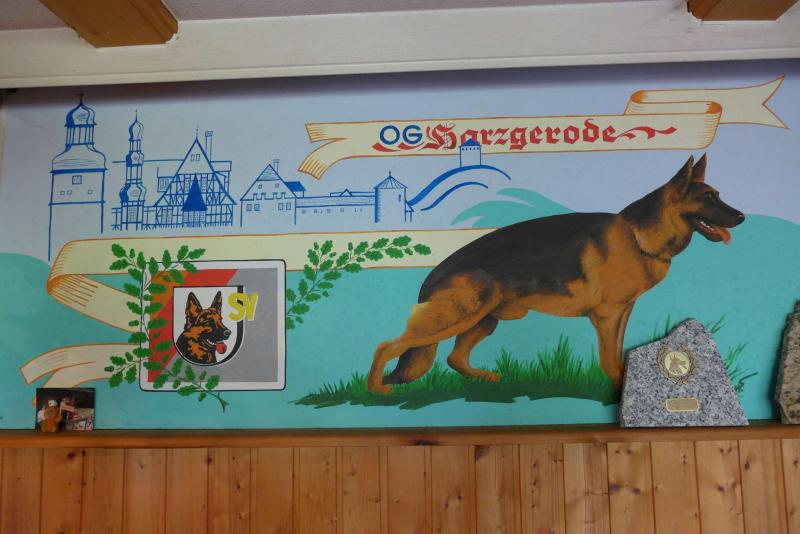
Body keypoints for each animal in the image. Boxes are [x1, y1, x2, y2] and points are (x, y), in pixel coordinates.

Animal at [368, 155, 744, 394]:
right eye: (709, 198)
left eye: (719, 196)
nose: (741, 217)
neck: (637, 235)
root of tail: (431, 275)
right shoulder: (606, 317)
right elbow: (609, 359)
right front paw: (618, 389)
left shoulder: (622, 313)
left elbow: (619, 353)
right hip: (460, 314)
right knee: (387, 346)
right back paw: (375, 389)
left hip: (487, 319)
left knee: (453, 357)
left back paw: (484, 378)